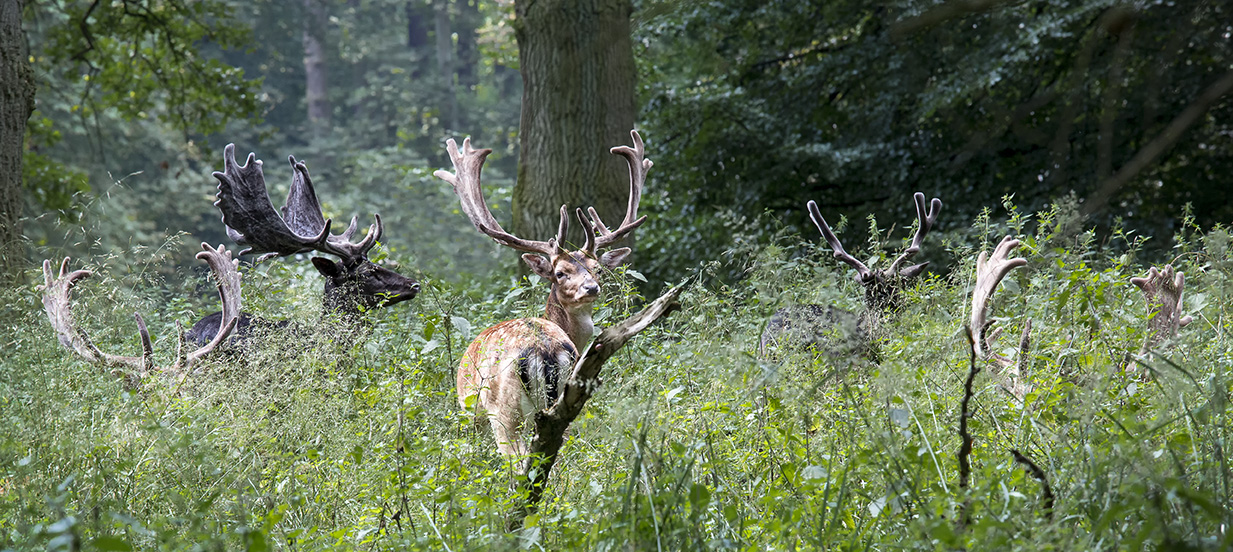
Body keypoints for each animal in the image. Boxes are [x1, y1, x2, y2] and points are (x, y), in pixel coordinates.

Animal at [434, 129, 651, 460]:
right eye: (560, 272)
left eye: (597, 269)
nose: (591, 287)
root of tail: (545, 351)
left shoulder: (469, 412)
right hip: (566, 404)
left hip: (503, 413)